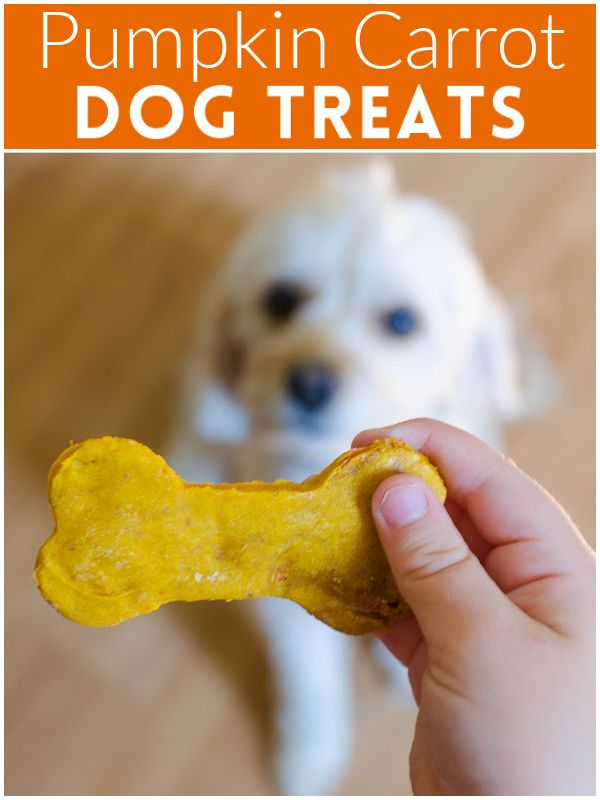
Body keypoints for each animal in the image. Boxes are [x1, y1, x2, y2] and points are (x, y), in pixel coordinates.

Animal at [168, 162, 524, 792]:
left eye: (402, 321)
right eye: (280, 299)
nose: (310, 381)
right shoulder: (286, 592)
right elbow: (310, 680)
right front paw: (310, 752)